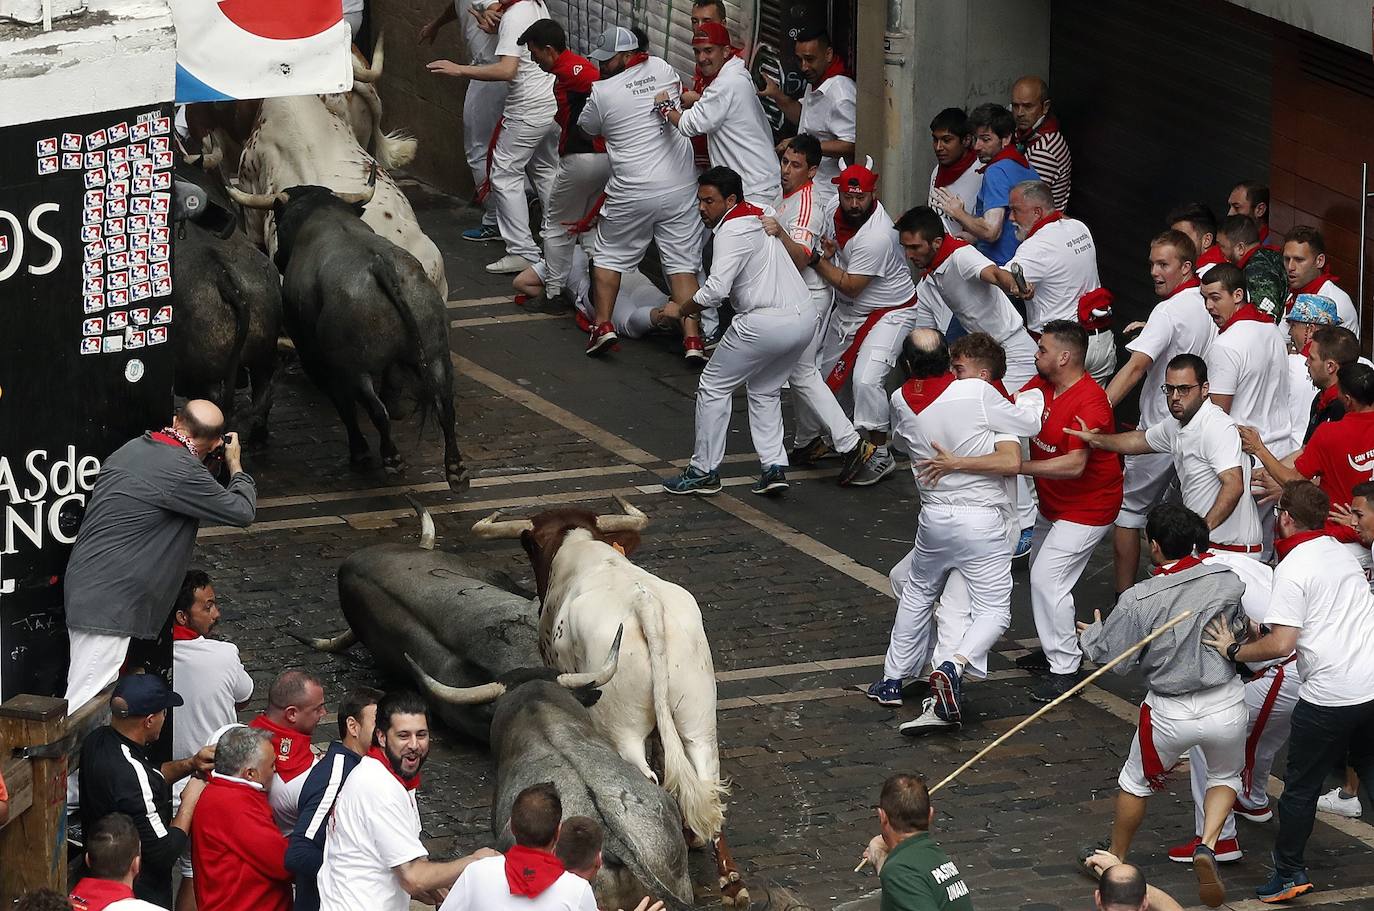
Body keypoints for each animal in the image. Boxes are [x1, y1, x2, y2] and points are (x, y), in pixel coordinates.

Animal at [472, 500, 752, 911]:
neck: (581, 549)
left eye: (529, 547)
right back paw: (731, 883)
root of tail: (643, 604)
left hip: (623, 730)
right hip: (699, 721)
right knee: (705, 783)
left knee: (649, 776)